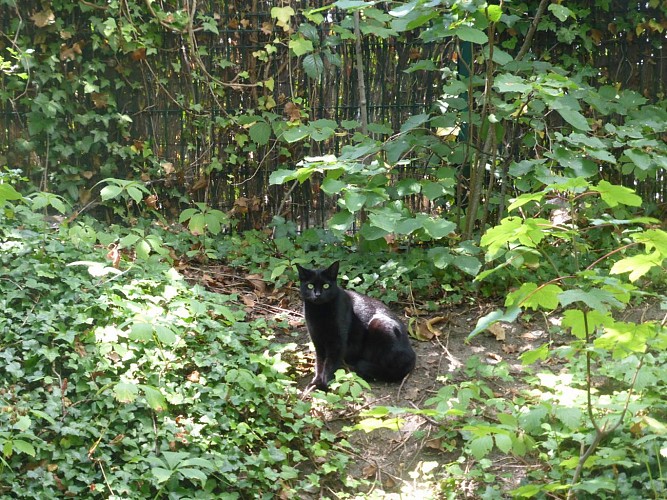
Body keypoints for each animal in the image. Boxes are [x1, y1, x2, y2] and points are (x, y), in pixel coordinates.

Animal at [294, 262, 414, 390]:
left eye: (326, 286)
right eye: (310, 286)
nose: (317, 294)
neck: (320, 311)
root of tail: (412, 355)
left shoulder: (337, 343)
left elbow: (330, 364)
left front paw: (324, 385)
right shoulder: (318, 341)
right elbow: (319, 364)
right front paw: (315, 383)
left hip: (379, 324)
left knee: (387, 370)